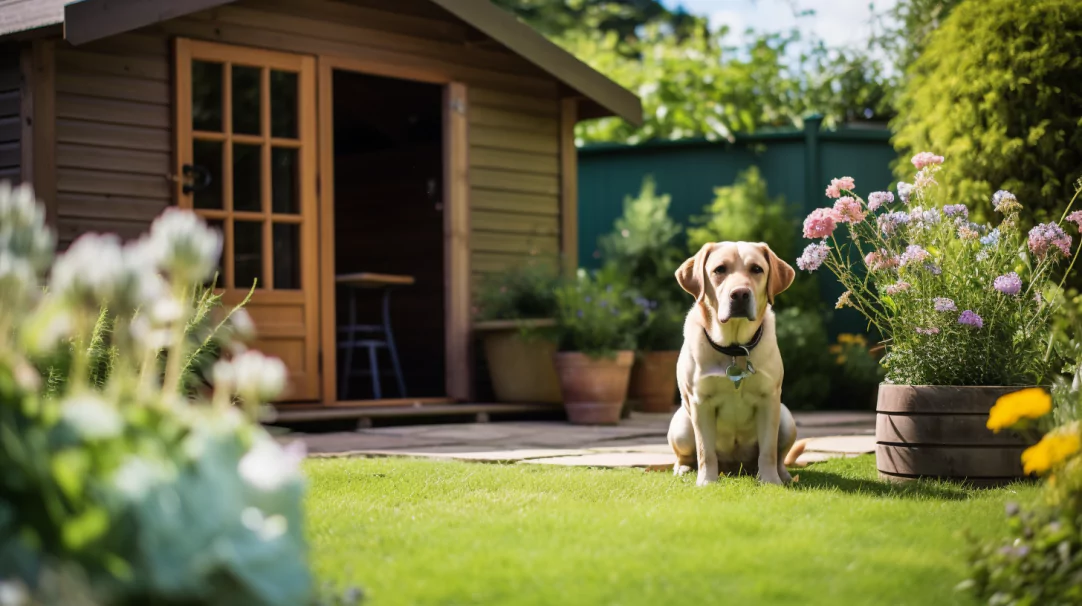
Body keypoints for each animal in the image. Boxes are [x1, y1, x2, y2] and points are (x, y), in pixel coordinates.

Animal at [666, 242, 805, 486]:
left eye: (757, 269)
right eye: (719, 269)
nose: (740, 294)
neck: (735, 349)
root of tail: (734, 468)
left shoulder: (769, 400)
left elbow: (768, 451)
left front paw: (771, 482)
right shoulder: (701, 402)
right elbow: (705, 452)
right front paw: (706, 482)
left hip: (786, 419)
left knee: (779, 457)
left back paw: (784, 476)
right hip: (681, 425)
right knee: (686, 455)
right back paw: (683, 469)